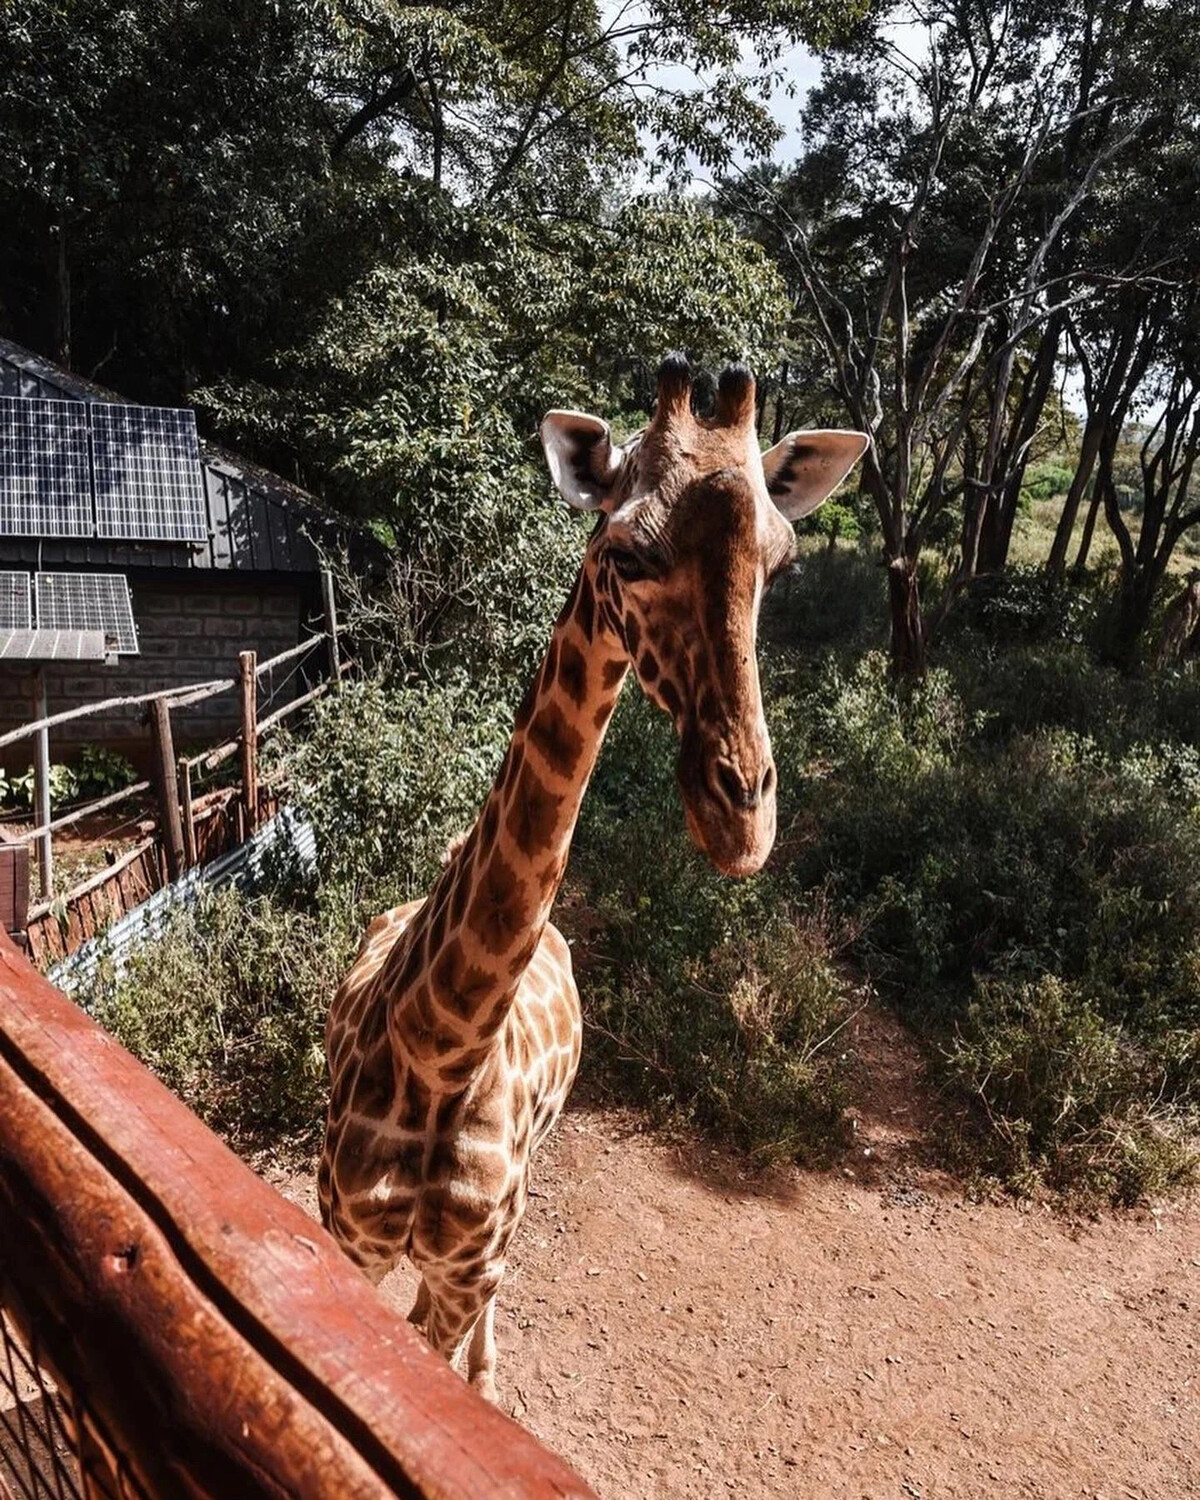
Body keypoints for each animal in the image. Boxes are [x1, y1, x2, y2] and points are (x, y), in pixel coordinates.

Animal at [316, 354, 864, 1404]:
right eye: (628, 552)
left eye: (780, 565)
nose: (743, 821)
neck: (441, 1051)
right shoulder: (345, 1235)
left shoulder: (464, 1262)